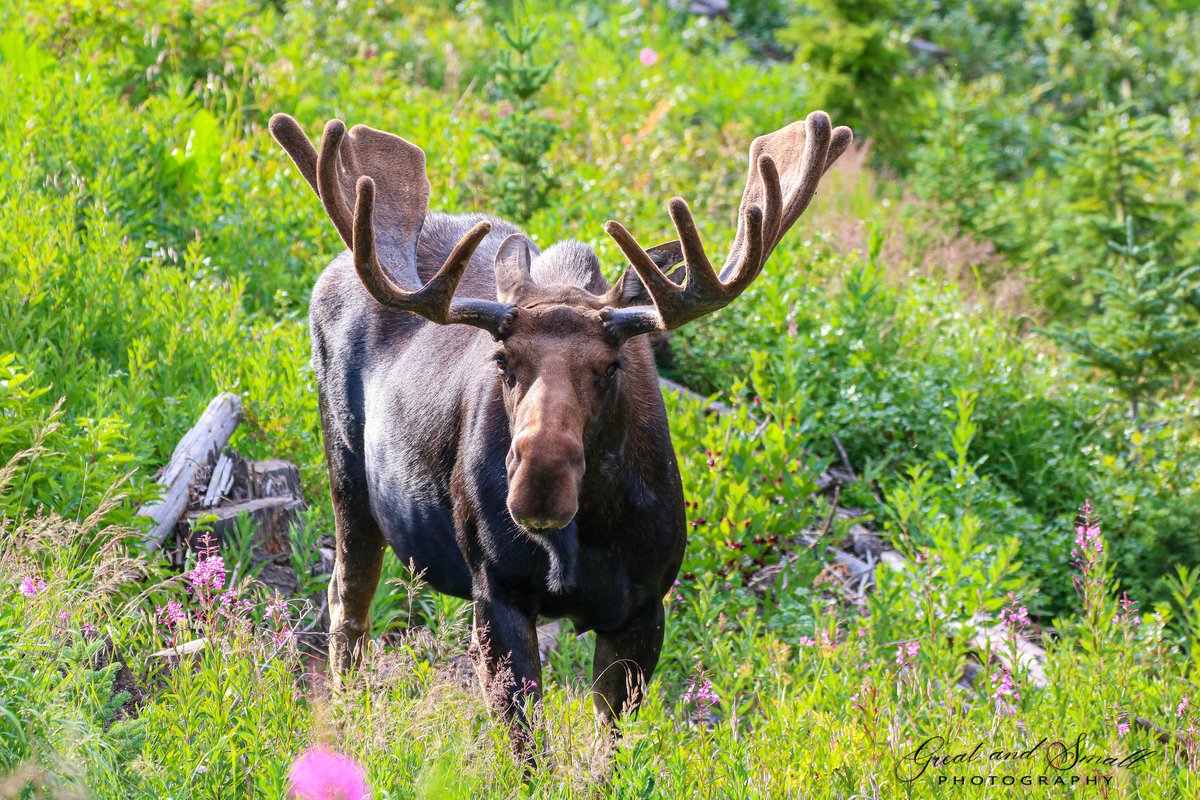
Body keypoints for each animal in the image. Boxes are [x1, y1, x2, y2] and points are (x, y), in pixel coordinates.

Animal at [267, 110, 851, 745]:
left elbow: (607, 748)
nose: (539, 486)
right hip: (347, 476)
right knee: (347, 602)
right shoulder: (498, 593)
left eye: (613, 366)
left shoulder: (644, 609)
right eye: (502, 359)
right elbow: (527, 746)